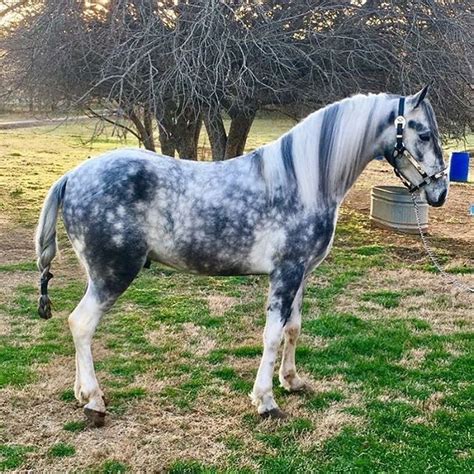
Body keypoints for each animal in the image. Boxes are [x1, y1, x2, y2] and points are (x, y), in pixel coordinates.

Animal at [36, 88, 448, 426]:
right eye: (424, 134)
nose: (440, 191)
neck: (303, 182)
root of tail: (72, 176)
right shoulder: (285, 274)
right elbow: (272, 334)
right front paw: (266, 401)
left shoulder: (301, 275)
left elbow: (293, 329)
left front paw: (291, 381)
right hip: (112, 274)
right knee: (81, 323)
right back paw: (94, 402)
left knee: (77, 325)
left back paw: (82, 393)